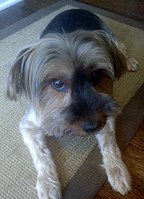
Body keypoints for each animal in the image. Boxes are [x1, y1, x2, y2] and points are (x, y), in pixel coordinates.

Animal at [6, 8, 138, 199]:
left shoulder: (106, 111)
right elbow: (41, 155)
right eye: (57, 83)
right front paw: (48, 184)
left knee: (120, 48)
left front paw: (118, 170)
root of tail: (76, 8)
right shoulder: (29, 125)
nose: (92, 126)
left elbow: (109, 143)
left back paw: (129, 61)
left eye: (96, 75)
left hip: (107, 34)